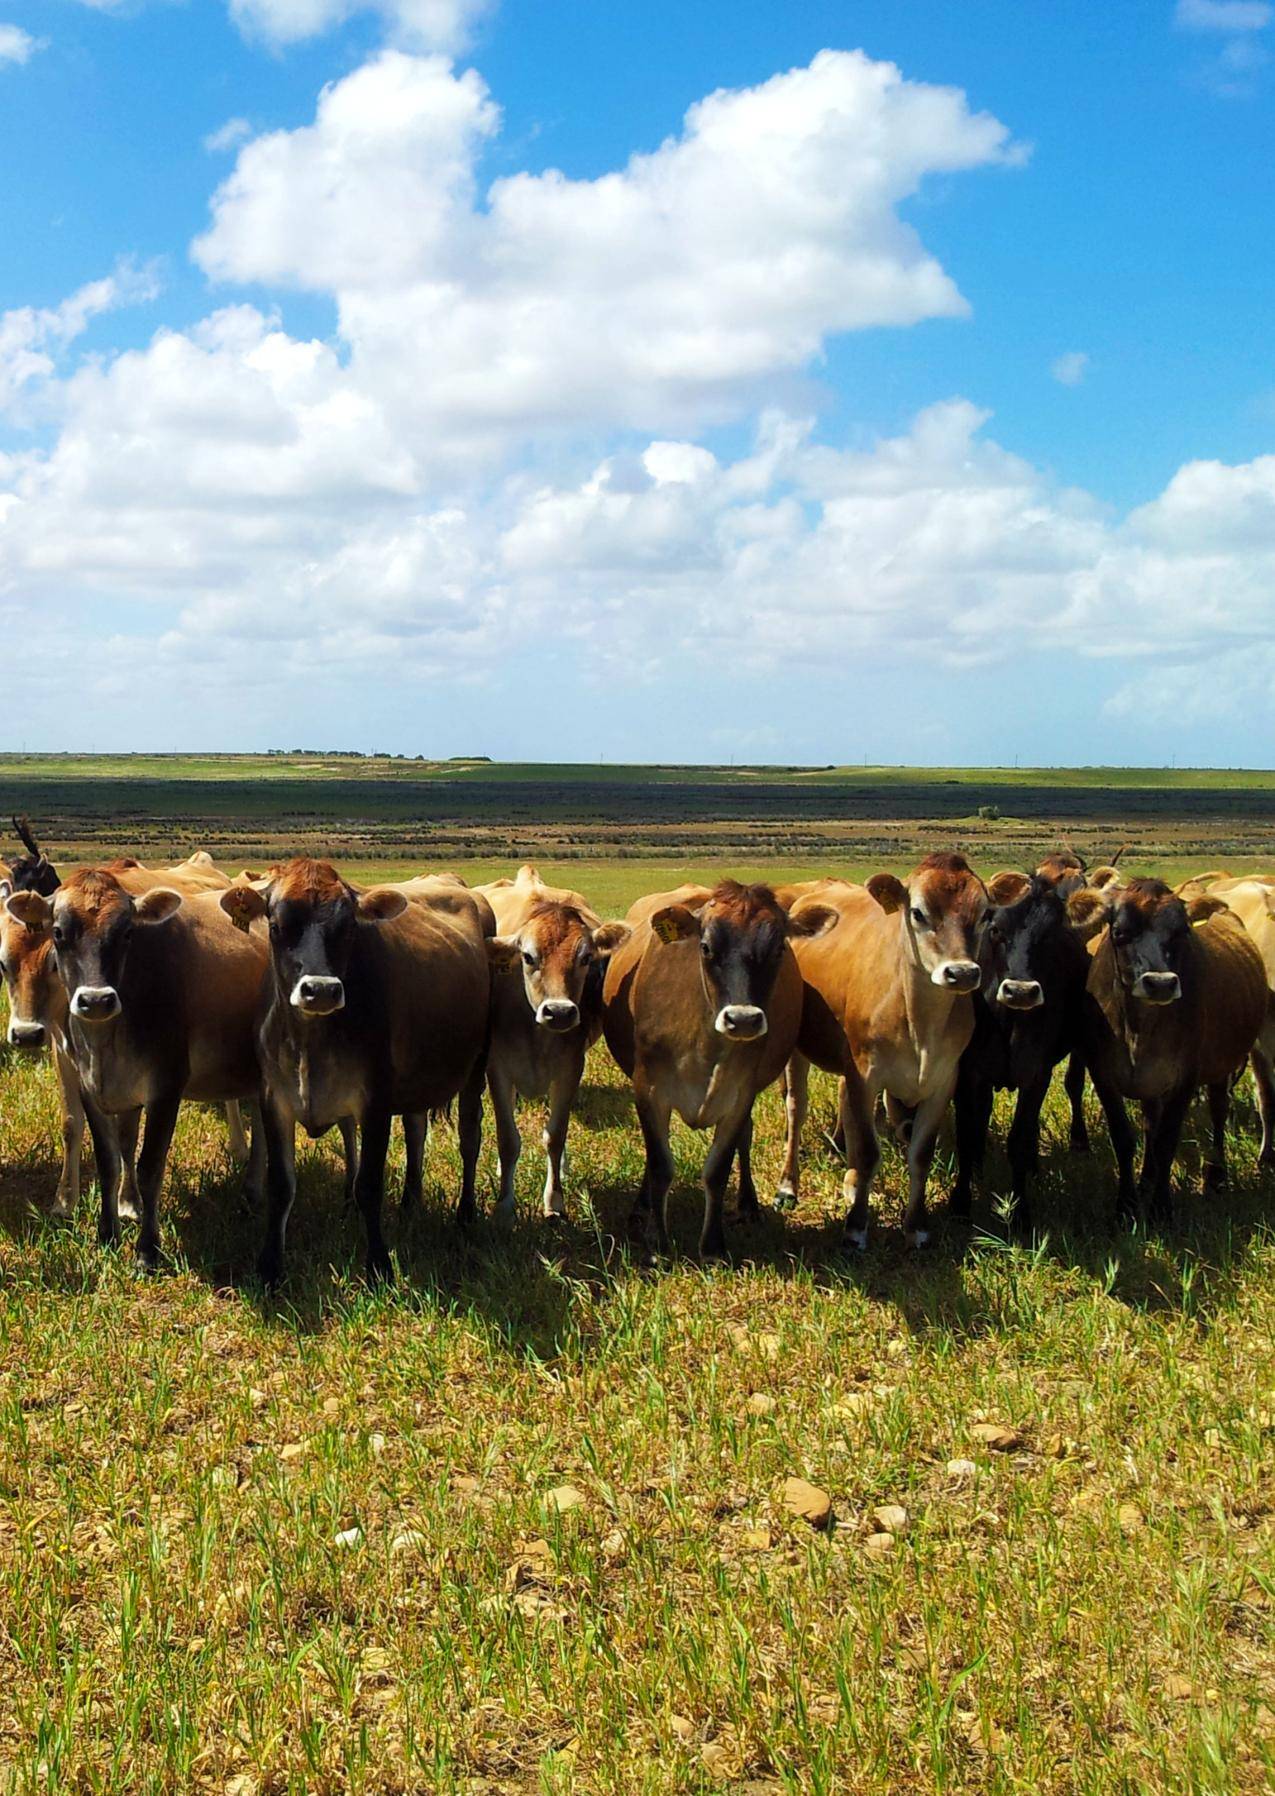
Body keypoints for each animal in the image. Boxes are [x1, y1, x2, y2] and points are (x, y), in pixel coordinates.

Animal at [6, 869, 269, 1264]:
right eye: (58, 932)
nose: (96, 1000)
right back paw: (253, 1190)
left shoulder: (166, 1088)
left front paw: (148, 1249)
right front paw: (107, 1233)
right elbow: (109, 1160)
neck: (106, 1040)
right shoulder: (91, 1087)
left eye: (127, 933)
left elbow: (149, 1167)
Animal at [222, 862, 492, 1285]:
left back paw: (465, 1214)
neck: (309, 1041)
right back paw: (411, 1201)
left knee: (470, 1138)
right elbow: (281, 1185)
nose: (320, 990)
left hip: (476, 1067)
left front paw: (379, 1264)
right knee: (416, 1129)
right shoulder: (273, 1098)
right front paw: (270, 1267)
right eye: (277, 926)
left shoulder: (375, 1101)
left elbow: (369, 1184)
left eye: (349, 928)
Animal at [779, 851, 991, 1250]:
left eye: (986, 913)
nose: (962, 973)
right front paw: (856, 1228)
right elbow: (867, 1151)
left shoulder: (942, 1082)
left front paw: (917, 1227)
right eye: (918, 912)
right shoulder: (866, 1076)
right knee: (796, 1110)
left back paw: (849, 1183)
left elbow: (920, 1154)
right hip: (799, 1052)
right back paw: (788, 1186)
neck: (921, 1024)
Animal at [1070, 876, 1271, 1214]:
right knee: (1151, 1124)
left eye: (1181, 932)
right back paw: (1146, 1178)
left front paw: (1160, 1207)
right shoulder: (1103, 1074)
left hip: (1220, 1068)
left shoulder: (1184, 1079)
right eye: (1120, 932)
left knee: (1218, 1112)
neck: (1138, 1027)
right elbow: (1125, 1138)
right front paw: (1126, 1204)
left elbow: (1166, 1142)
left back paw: (1216, 1177)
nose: (1161, 983)